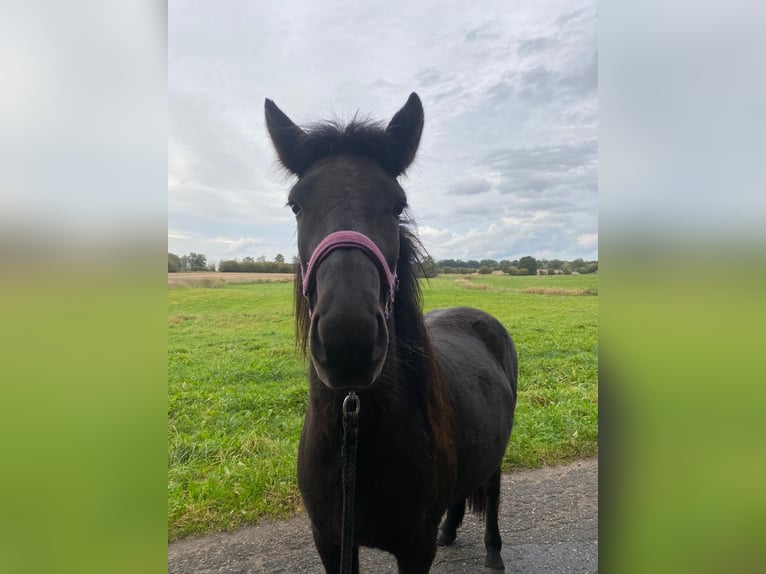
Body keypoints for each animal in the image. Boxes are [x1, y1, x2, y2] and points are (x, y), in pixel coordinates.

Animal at [264, 92, 518, 573]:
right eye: (295, 204)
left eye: (397, 203)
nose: (349, 340)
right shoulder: (330, 541)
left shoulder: (415, 548)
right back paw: (450, 529)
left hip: (497, 452)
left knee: (492, 492)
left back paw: (494, 551)